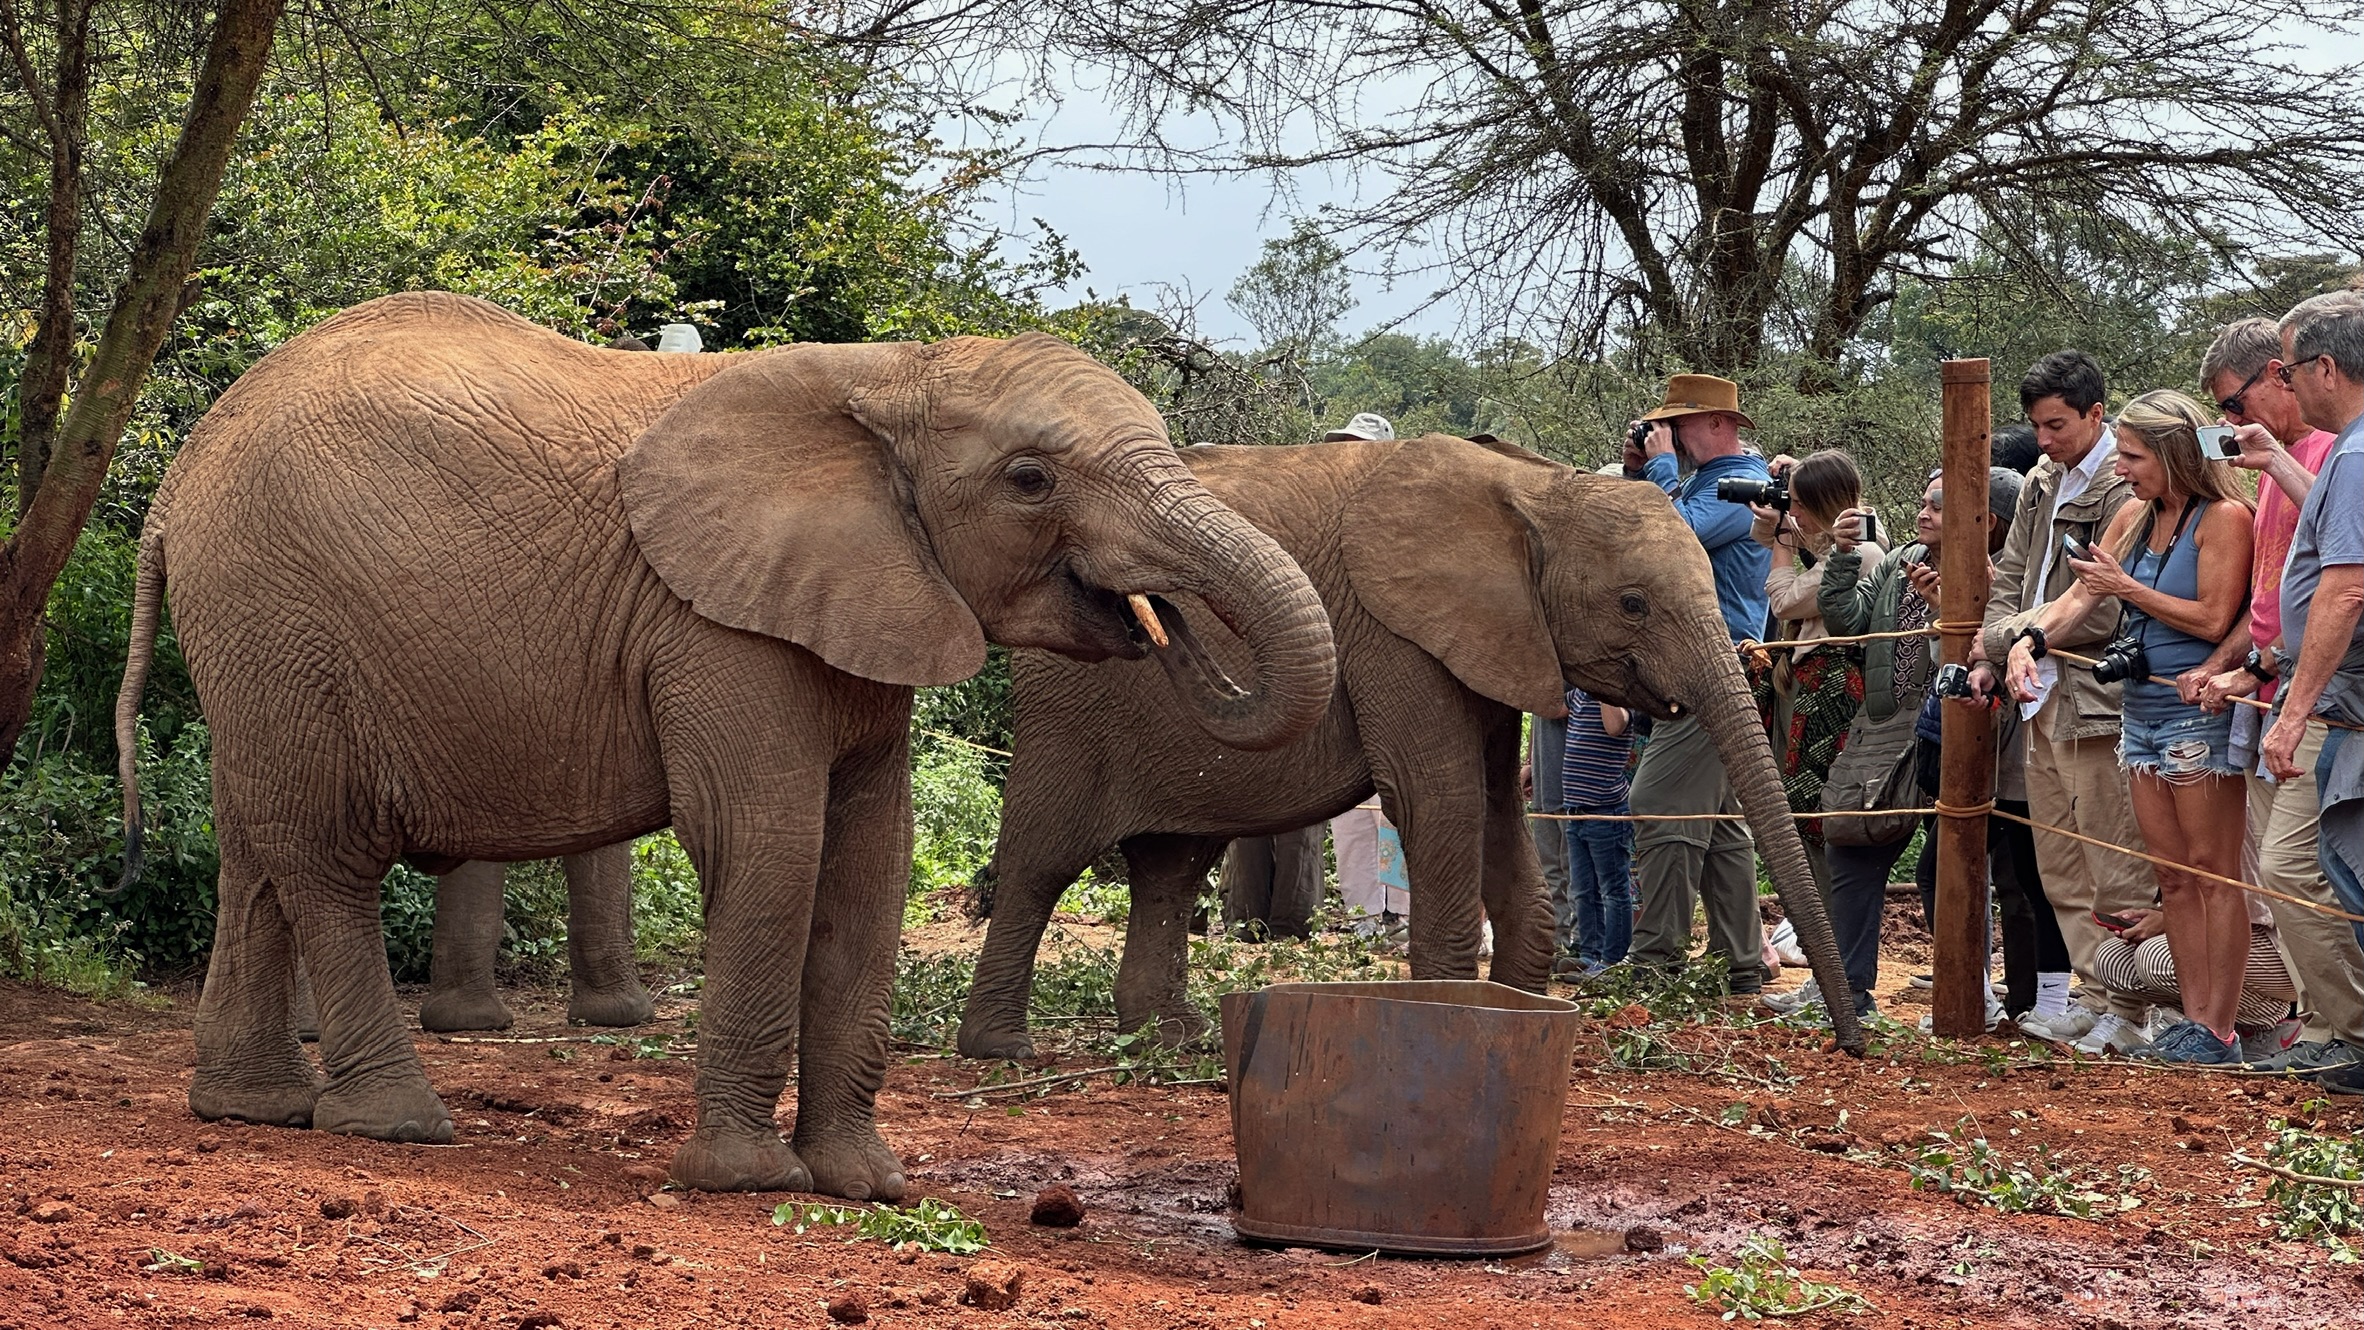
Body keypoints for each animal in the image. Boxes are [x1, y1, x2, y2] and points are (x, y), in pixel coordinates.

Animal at [113, 292, 1337, 1198]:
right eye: (1032, 480)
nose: (1159, 620)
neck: (892, 378)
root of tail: (175, 485)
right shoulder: (715, 626)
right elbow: (770, 845)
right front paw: (748, 1183)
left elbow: (873, 863)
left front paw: (869, 1185)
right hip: (279, 615)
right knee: (323, 855)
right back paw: (398, 1124)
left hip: (257, 646)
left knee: (253, 849)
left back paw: (253, 1108)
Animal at [955, 434, 1862, 1060]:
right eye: (1633, 604)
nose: (1849, 1043)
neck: (1535, 491)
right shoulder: (1394, 631)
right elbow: (1440, 799)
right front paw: (1450, 1017)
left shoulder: (1494, 639)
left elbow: (1496, 805)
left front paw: (1516, 1019)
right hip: (1072, 700)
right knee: (1041, 861)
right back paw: (1003, 1050)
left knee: (1171, 871)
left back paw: (1171, 1039)